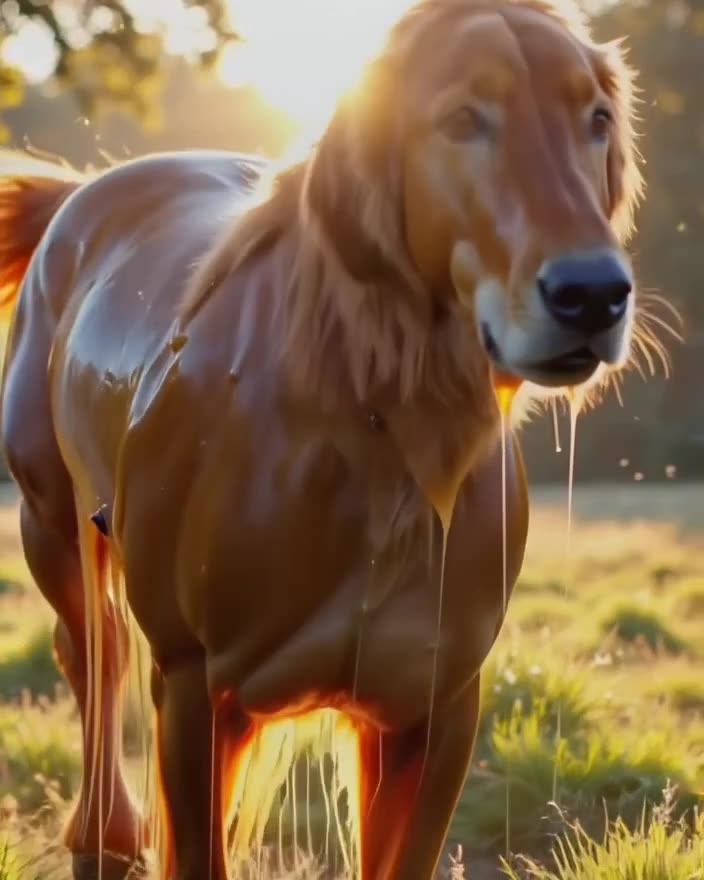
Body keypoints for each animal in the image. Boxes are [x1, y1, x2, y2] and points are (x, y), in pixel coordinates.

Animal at [0, 0, 643, 877]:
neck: (370, 444)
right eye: (461, 118)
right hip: (53, 533)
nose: (592, 295)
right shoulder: (195, 689)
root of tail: (82, 191)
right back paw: (104, 839)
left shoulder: (435, 710)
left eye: (596, 118)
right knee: (94, 662)